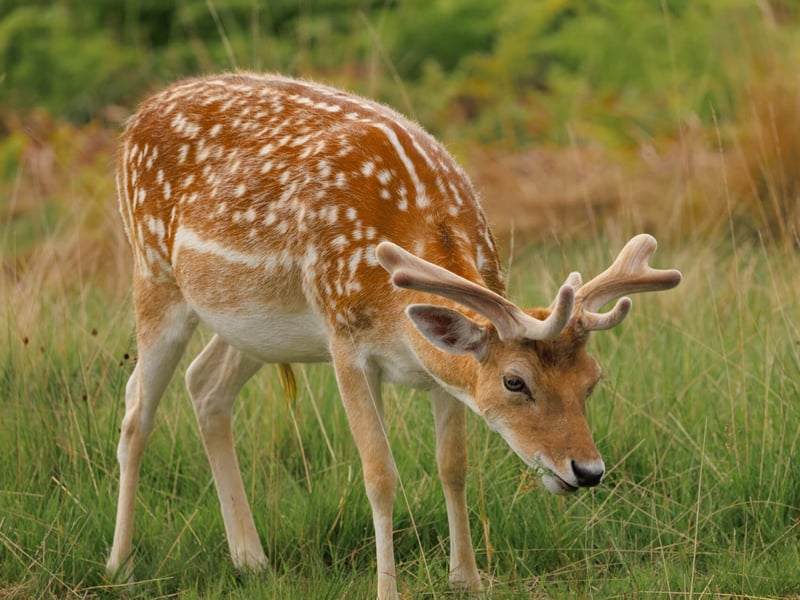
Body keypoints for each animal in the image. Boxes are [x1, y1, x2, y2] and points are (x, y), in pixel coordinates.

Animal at [107, 72, 682, 599]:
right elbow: (379, 473)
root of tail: (136, 116)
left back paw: (251, 560)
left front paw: (466, 579)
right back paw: (122, 566)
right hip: (154, 271)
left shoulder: (444, 371)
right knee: (136, 408)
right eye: (515, 382)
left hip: (253, 326)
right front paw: (388, 589)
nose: (587, 470)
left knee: (205, 385)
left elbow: (454, 465)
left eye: (592, 380)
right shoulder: (345, 340)